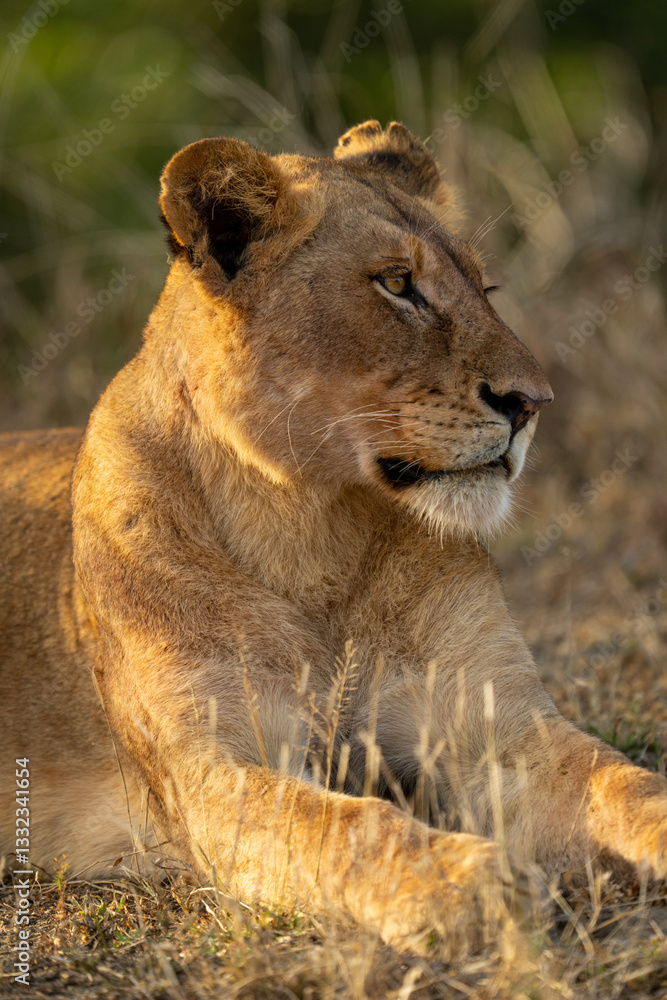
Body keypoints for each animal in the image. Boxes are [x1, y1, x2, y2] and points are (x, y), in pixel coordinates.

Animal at [2, 120, 666, 954]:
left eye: (484, 290)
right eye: (396, 284)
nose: (531, 403)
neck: (311, 532)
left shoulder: (498, 734)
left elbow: (625, 785)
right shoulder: (214, 773)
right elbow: (347, 826)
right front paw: (471, 882)